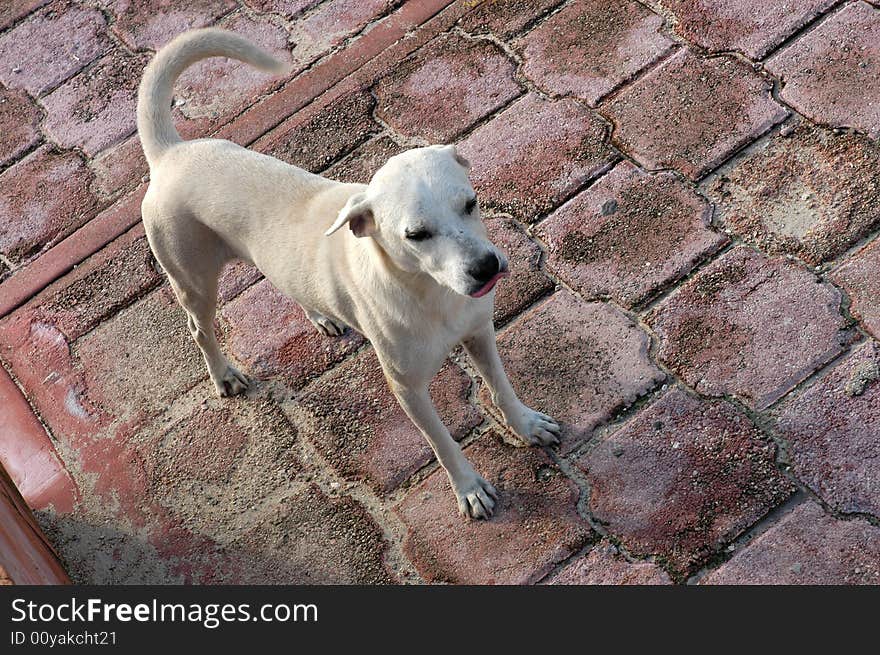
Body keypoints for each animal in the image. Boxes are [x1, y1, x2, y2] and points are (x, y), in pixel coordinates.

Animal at [139, 29, 564, 524]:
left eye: (470, 203)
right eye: (416, 235)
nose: (487, 268)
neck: (430, 293)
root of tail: (170, 153)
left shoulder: (480, 332)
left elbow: (500, 389)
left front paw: (526, 424)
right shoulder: (408, 388)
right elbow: (442, 443)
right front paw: (469, 488)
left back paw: (320, 316)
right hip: (193, 282)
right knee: (200, 330)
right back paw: (223, 374)